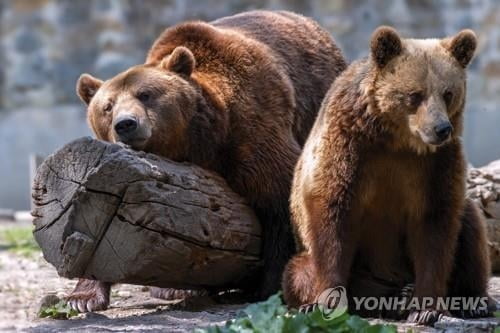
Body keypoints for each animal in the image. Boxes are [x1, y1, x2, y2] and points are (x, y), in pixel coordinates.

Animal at [69, 10, 348, 312]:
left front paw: (268, 288)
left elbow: (279, 199)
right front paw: (83, 298)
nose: (126, 124)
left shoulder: (251, 134)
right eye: (107, 107)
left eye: (145, 94)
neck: (199, 140)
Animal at [284, 26, 494, 324]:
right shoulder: (350, 148)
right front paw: (326, 301)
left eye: (448, 93)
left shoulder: (435, 165)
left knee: (470, 227)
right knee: (298, 272)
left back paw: (471, 301)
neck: (397, 141)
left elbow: (435, 228)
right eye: (415, 94)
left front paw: (426, 309)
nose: (441, 129)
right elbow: (333, 217)